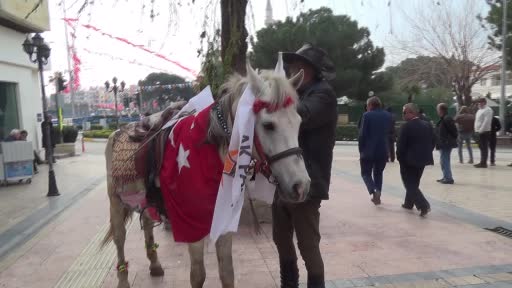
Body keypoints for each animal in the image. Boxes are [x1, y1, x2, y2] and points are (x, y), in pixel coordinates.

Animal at [102, 63, 310, 288]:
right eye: (268, 125)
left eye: (299, 122)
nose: (301, 186)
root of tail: (117, 131)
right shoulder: (190, 225)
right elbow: (198, 275)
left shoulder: (224, 221)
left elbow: (227, 273)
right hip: (115, 201)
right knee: (119, 238)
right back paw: (123, 278)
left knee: (147, 224)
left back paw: (155, 265)